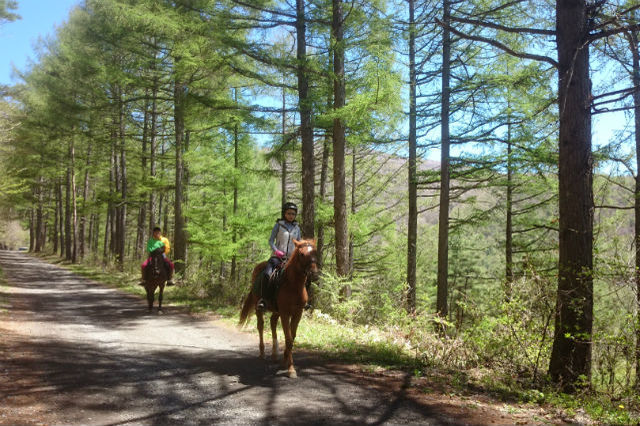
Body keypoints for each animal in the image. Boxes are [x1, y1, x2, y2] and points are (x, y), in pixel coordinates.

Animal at [239, 238, 318, 378]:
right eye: (302, 254)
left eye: (315, 252)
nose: (314, 274)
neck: (293, 285)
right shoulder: (285, 313)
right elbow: (289, 339)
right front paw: (290, 369)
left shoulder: (297, 313)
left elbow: (292, 336)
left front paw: (284, 361)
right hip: (259, 307)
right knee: (260, 326)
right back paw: (262, 353)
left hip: (276, 311)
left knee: (272, 323)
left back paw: (275, 354)